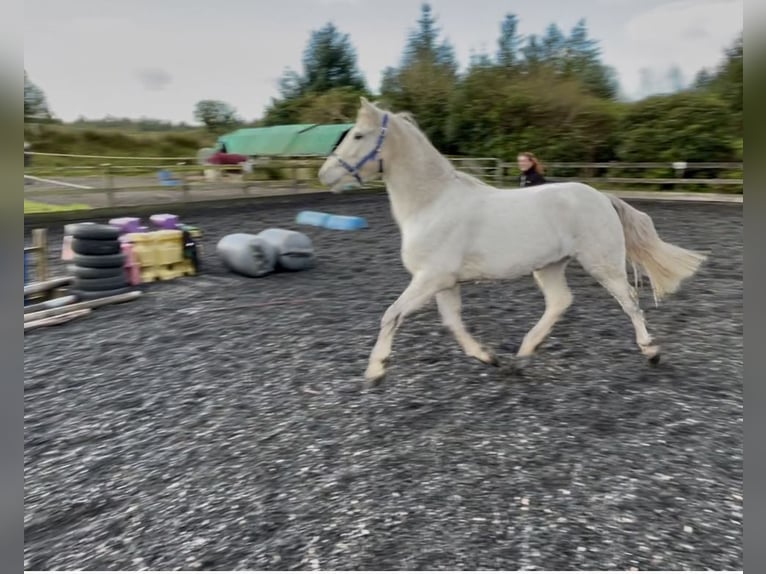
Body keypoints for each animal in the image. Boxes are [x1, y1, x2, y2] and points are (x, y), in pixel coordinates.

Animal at [318, 97, 707, 386]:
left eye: (358, 136)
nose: (325, 175)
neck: (432, 203)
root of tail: (601, 197)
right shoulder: (443, 283)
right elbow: (453, 323)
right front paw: (489, 358)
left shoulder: (430, 279)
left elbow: (391, 315)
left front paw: (375, 371)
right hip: (549, 266)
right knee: (560, 302)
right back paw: (521, 357)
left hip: (602, 263)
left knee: (629, 302)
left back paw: (651, 352)